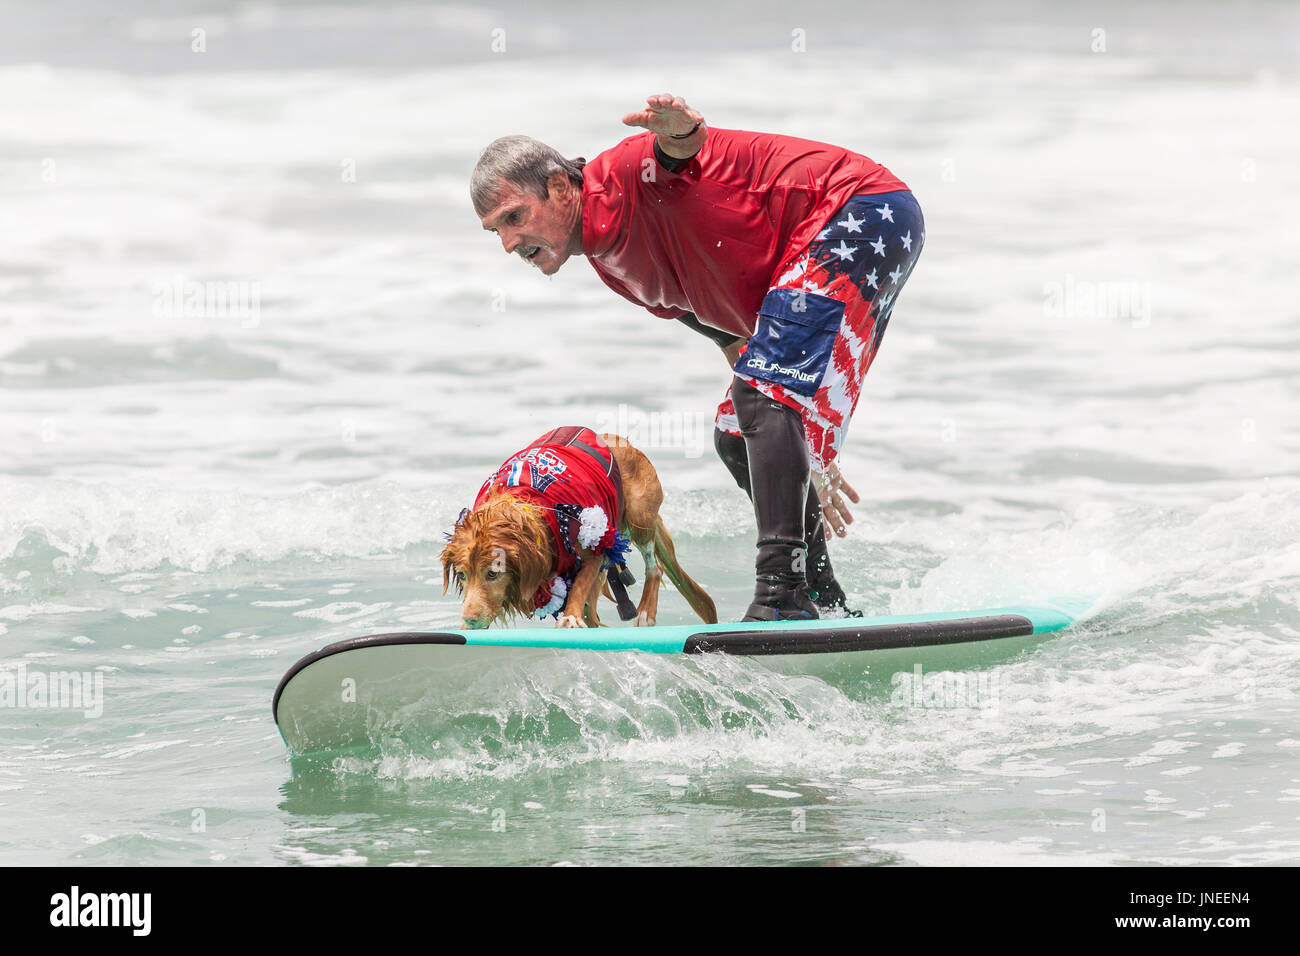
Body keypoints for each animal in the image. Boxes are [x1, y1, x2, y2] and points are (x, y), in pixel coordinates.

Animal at [441, 431, 717, 629]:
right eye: (462, 575)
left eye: (492, 574)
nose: (469, 619)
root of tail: (620, 441)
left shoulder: (594, 546)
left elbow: (581, 586)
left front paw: (570, 617)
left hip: (639, 515)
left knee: (655, 567)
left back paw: (646, 611)